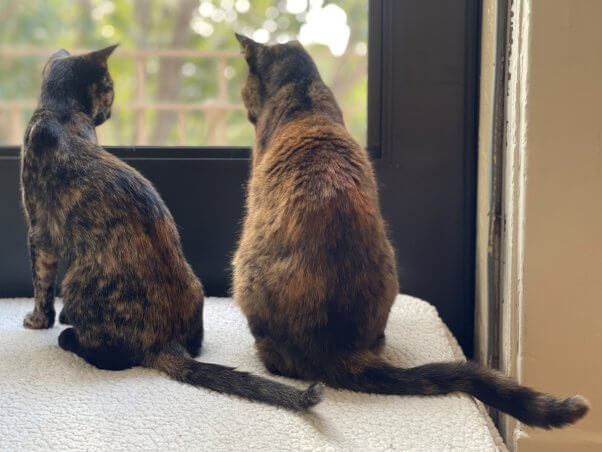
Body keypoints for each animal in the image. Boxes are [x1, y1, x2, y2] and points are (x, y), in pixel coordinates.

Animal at [21, 44, 324, 412]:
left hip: (78, 281)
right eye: (109, 87)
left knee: (111, 357)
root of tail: (164, 342)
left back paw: (69, 337)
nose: (109, 108)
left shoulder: (38, 230)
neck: (61, 112)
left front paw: (39, 321)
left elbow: (41, 284)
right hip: (193, 287)